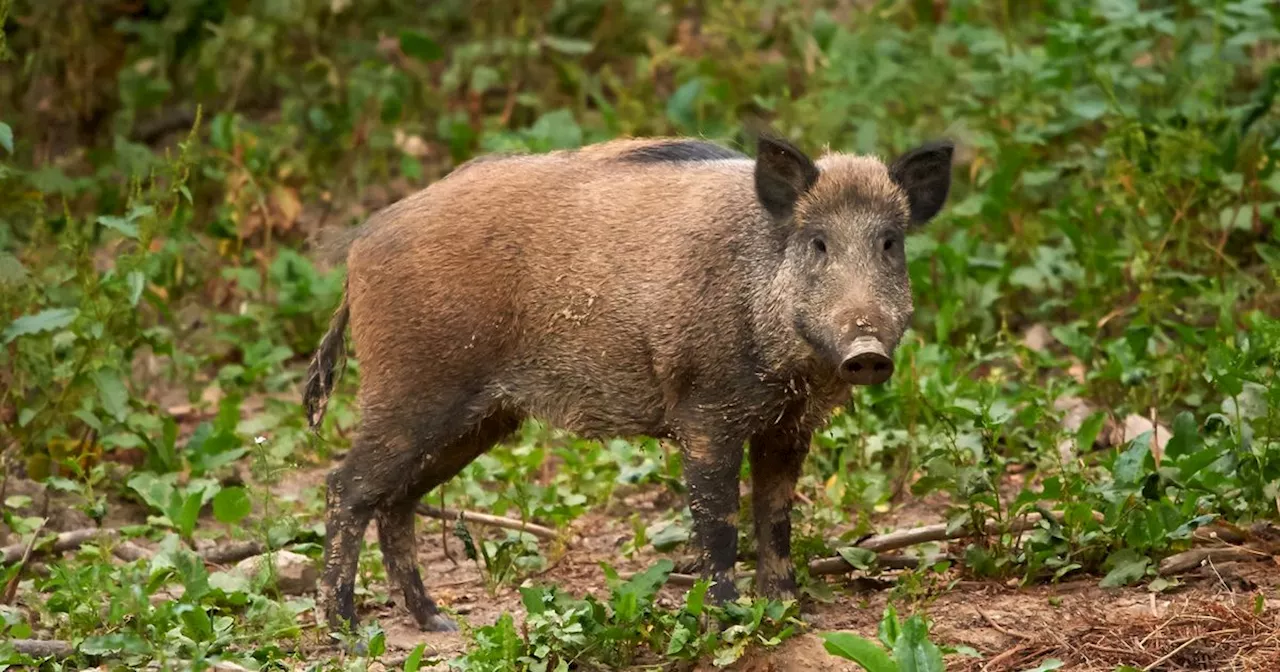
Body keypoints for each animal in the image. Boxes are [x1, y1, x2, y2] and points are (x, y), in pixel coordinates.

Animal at [302, 129, 952, 629]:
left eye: (890, 243)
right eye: (817, 243)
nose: (866, 351)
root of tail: (362, 243)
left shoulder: (788, 428)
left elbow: (776, 520)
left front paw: (790, 613)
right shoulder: (704, 415)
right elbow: (718, 526)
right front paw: (725, 621)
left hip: (477, 420)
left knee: (398, 500)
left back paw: (435, 622)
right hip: (411, 392)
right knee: (346, 488)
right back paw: (348, 631)